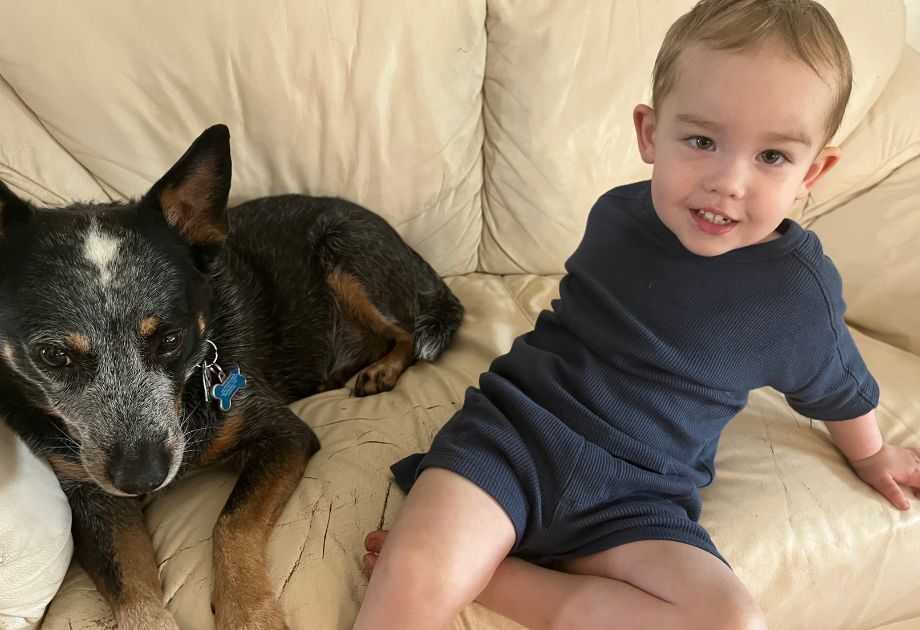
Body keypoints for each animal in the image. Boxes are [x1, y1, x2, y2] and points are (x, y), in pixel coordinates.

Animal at [0, 126, 464, 628]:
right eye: (52, 355)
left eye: (170, 339)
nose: (143, 478)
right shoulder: (89, 494)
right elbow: (130, 587)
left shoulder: (283, 435)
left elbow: (230, 523)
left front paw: (250, 613)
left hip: (345, 253)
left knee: (410, 332)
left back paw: (382, 369)